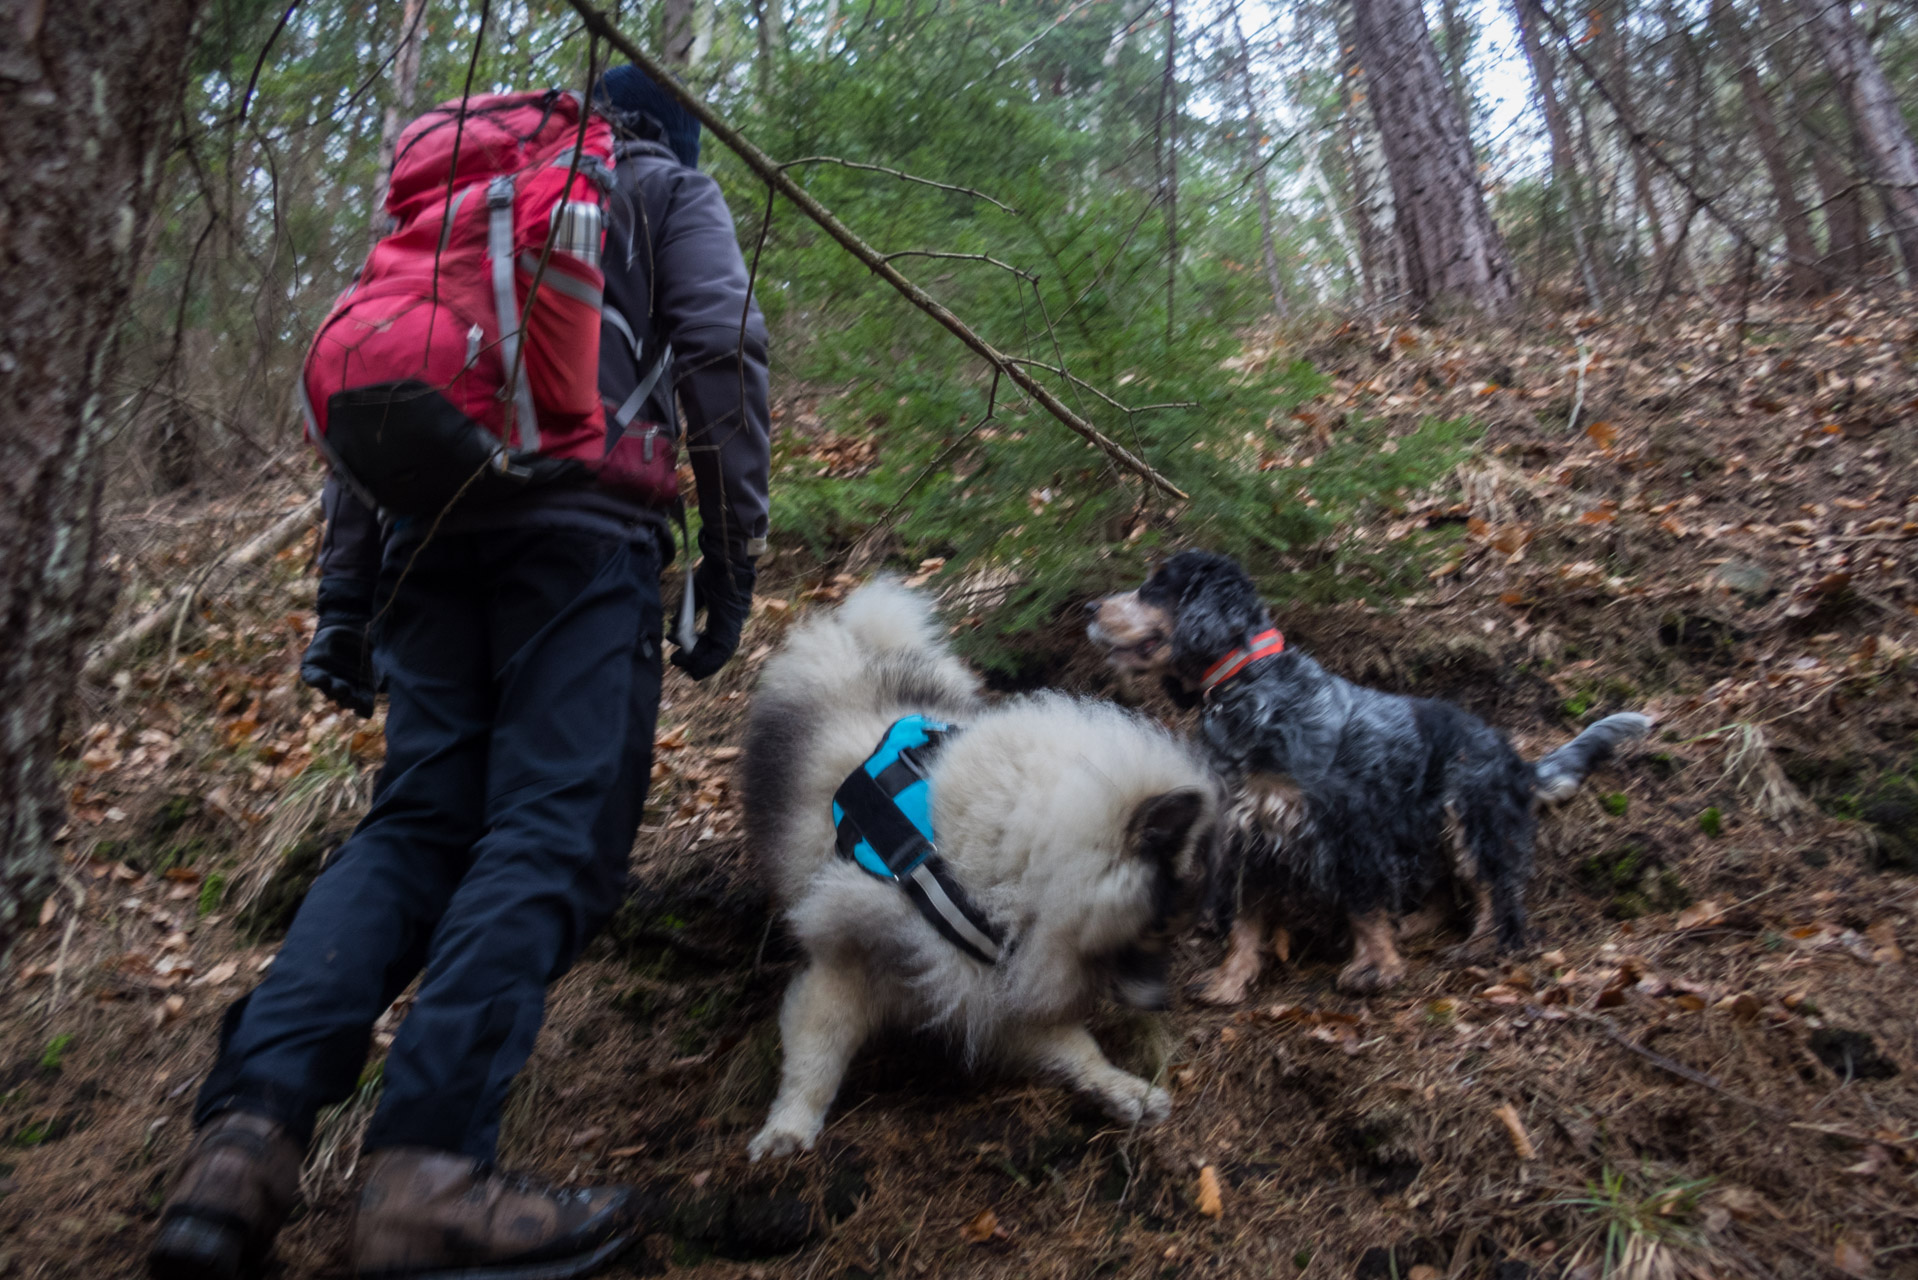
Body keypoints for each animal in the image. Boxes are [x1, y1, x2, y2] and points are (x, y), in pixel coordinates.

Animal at [744, 579, 1212, 1159]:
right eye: (1156, 931)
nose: (1164, 1003)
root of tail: (861, 640)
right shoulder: (847, 964)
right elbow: (817, 1053)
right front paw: (788, 1125)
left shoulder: (989, 988)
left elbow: (1072, 1045)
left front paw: (1119, 1087)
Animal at [1089, 552, 1657, 997]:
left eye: (1156, 584)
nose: (1088, 608)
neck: (1250, 690)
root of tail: (1517, 759)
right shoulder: (1249, 834)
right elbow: (1247, 921)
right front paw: (1230, 980)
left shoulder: (1348, 825)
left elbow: (1363, 904)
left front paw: (1374, 968)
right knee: (1442, 892)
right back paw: (1418, 924)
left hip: (1467, 813)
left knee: (1497, 893)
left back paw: (1482, 945)